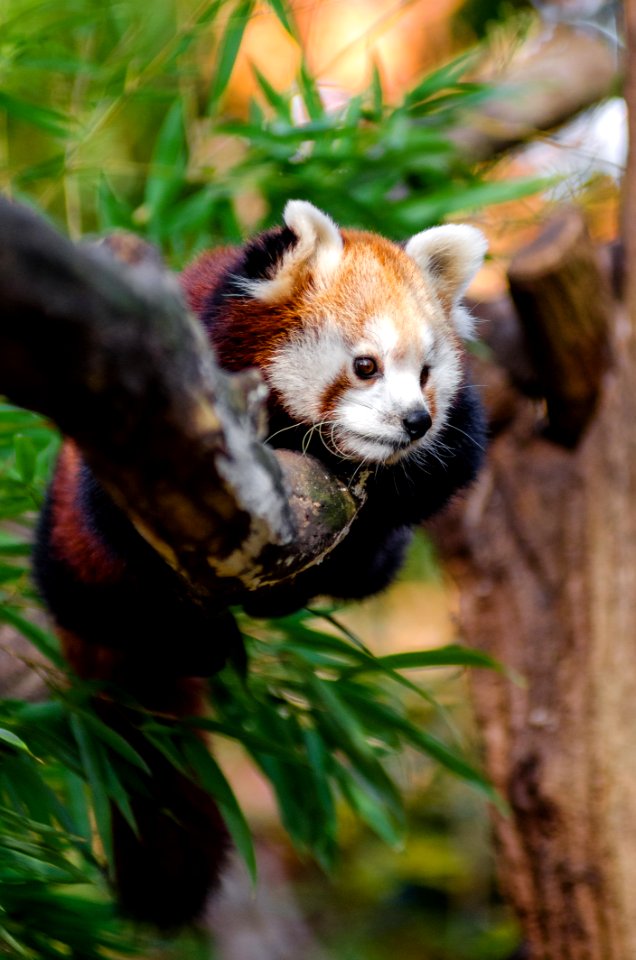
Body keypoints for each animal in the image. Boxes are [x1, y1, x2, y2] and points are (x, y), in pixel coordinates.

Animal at [32, 199, 486, 928]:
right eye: (365, 366)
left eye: (425, 373)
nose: (415, 421)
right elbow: (127, 517)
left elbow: (438, 475)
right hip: (74, 559)